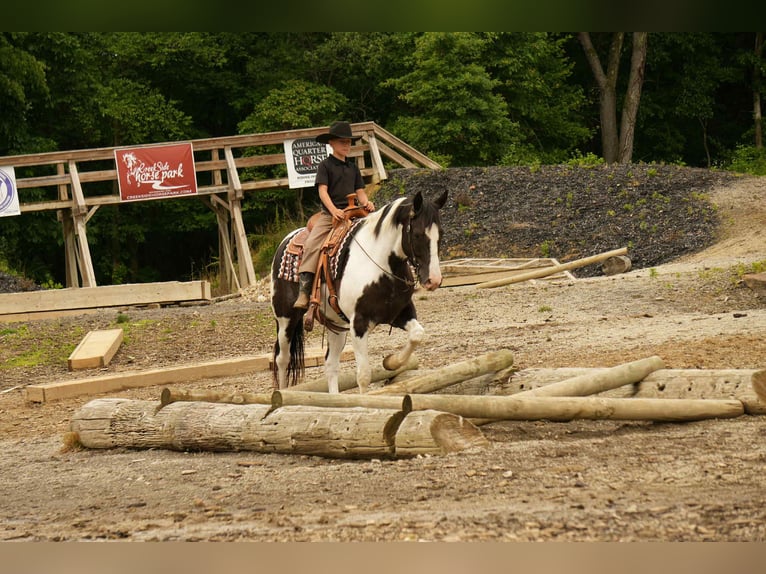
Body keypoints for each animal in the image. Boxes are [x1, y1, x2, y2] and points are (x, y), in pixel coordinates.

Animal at [270, 189, 448, 394]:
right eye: (418, 235)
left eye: (441, 233)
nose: (434, 280)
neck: (381, 266)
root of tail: (286, 239)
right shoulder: (359, 324)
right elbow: (363, 375)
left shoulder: (400, 313)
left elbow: (417, 334)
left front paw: (392, 362)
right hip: (286, 318)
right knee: (282, 359)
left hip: (336, 325)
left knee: (330, 364)